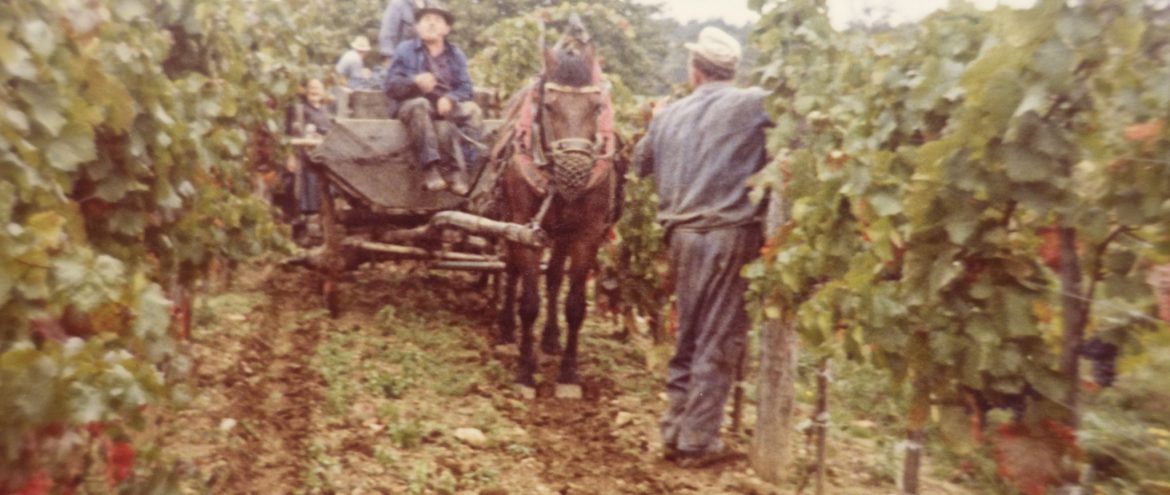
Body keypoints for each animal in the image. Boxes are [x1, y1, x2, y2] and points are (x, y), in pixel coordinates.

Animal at [496, 29, 622, 390]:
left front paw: (568, 372)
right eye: (549, 106)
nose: (574, 172)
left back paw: (551, 339)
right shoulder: (524, 229)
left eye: (597, 107)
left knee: (553, 278)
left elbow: (575, 305)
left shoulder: (586, 236)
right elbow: (529, 302)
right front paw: (525, 371)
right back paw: (506, 328)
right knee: (511, 271)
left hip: (561, 234)